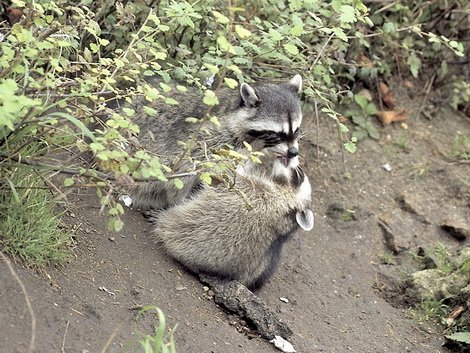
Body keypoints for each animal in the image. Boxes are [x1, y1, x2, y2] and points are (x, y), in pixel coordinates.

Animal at [130, 74, 302, 209]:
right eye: (277, 134)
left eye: (296, 130)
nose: (293, 152)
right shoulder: (208, 136)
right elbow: (186, 168)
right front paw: (179, 199)